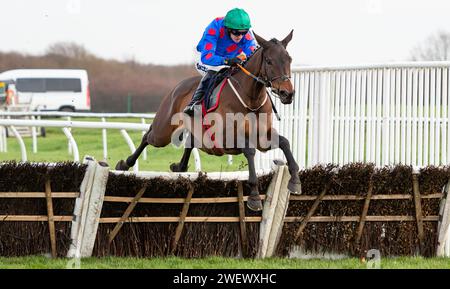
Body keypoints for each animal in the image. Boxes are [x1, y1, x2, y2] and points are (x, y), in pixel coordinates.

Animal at [114, 31, 300, 210]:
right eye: (269, 61)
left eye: (289, 59)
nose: (287, 93)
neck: (251, 99)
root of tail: (177, 87)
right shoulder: (225, 139)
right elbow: (249, 150)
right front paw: (254, 196)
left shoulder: (262, 138)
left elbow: (284, 142)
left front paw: (295, 180)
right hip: (163, 131)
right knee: (148, 137)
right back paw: (124, 164)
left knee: (188, 145)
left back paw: (178, 167)